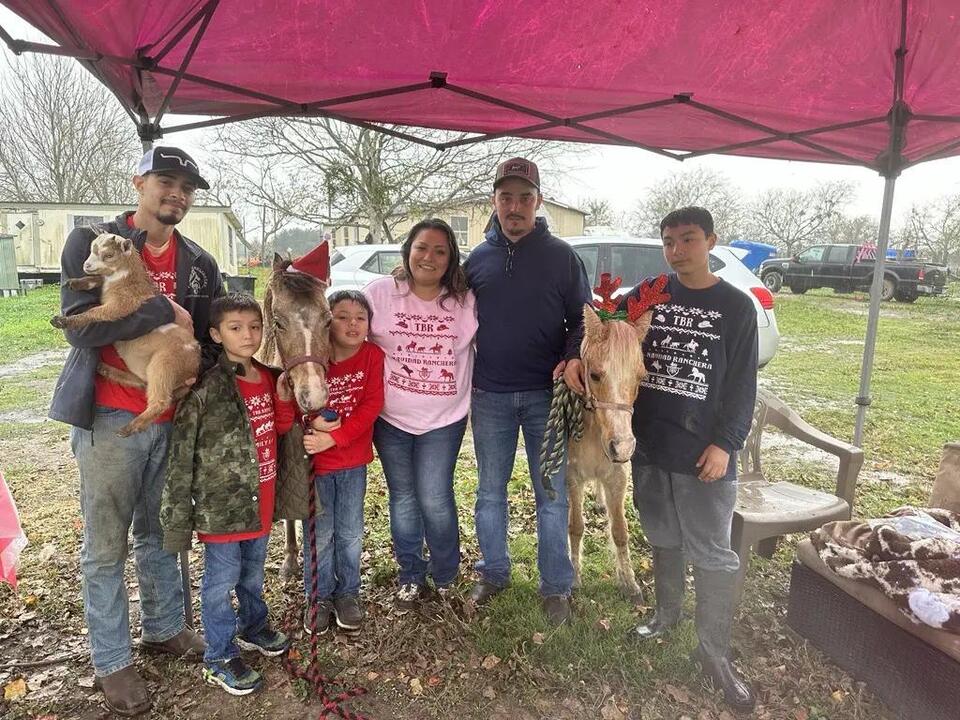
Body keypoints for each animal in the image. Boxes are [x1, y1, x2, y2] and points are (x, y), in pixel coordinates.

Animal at [51, 233, 200, 436]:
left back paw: (128, 428)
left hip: (165, 363)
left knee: (160, 401)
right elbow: (98, 279)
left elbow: (94, 313)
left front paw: (62, 321)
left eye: (109, 255)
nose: (86, 265)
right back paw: (103, 368)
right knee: (143, 384)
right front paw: (74, 283)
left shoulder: (121, 306)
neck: (125, 279)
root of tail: (192, 370)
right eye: (91, 248)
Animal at [568, 272, 664, 600]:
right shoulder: (571, 477)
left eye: (641, 376)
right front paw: (574, 576)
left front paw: (629, 582)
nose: (622, 447)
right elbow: (576, 527)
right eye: (595, 374)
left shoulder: (618, 477)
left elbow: (620, 531)